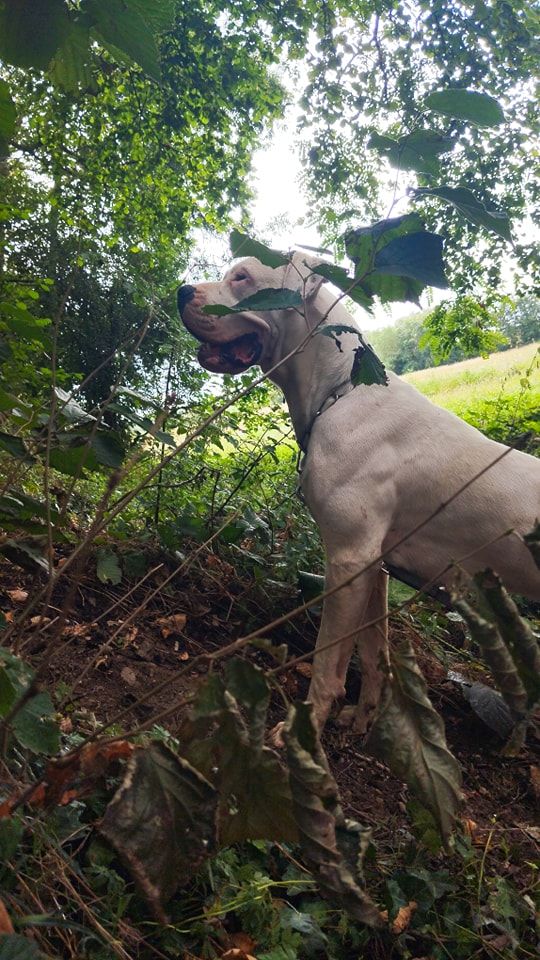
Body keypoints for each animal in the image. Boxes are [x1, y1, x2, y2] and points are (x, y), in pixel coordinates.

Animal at [178, 251, 540, 732]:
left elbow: (328, 658)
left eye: (242, 277)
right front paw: (366, 719)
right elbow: (373, 650)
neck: (341, 390)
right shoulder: (375, 565)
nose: (180, 292)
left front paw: (305, 727)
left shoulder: (348, 559)